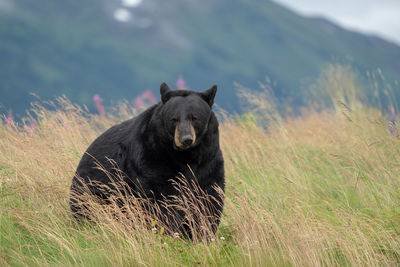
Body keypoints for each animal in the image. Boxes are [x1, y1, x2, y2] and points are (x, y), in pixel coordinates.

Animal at [69, 82, 225, 238]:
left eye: (194, 118)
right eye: (173, 119)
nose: (185, 139)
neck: (186, 156)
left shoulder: (209, 161)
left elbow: (208, 198)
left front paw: (203, 233)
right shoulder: (153, 156)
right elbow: (160, 197)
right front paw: (166, 230)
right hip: (94, 190)